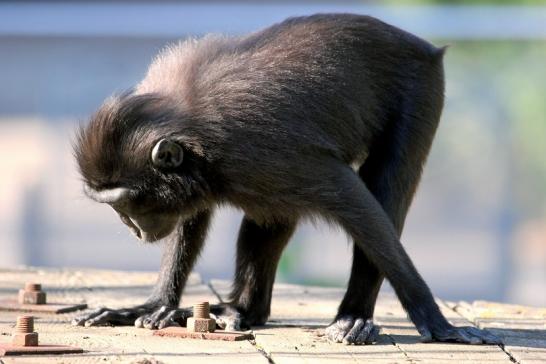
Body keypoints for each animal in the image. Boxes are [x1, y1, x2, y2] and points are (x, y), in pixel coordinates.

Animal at [73, 12, 502, 346]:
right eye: (114, 207)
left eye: (125, 203)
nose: (133, 228)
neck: (190, 127)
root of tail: (417, 43)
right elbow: (192, 216)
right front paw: (155, 305)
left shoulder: (271, 154)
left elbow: (361, 207)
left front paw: (439, 323)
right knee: (269, 216)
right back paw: (242, 309)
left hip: (422, 86)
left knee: (384, 193)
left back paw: (354, 318)